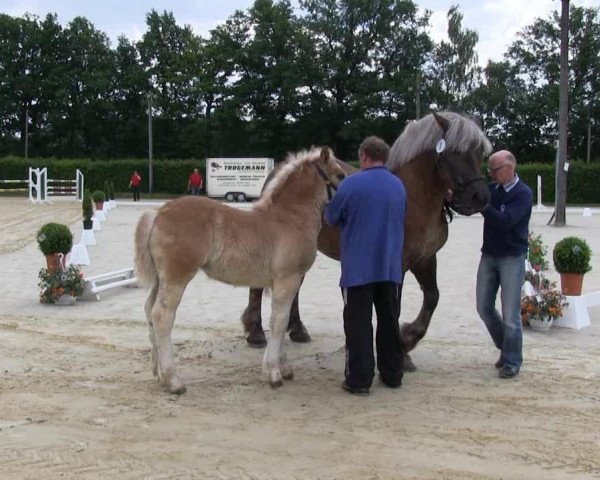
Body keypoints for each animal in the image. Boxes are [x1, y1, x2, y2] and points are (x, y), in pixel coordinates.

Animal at [134, 147, 344, 394]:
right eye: (340, 175)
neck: (289, 219)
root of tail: (158, 213)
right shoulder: (287, 280)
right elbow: (279, 322)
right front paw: (274, 373)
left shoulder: (287, 282)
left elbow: (280, 322)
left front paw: (284, 368)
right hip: (177, 277)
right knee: (162, 316)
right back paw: (173, 380)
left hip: (161, 279)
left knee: (149, 311)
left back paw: (158, 374)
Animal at [237, 110, 490, 370]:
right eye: (455, 151)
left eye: (481, 152)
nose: (480, 197)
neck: (414, 198)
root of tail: (280, 170)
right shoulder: (395, 266)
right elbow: (395, 307)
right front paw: (401, 351)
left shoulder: (425, 259)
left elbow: (432, 298)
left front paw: (408, 340)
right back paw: (256, 333)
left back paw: (297, 330)